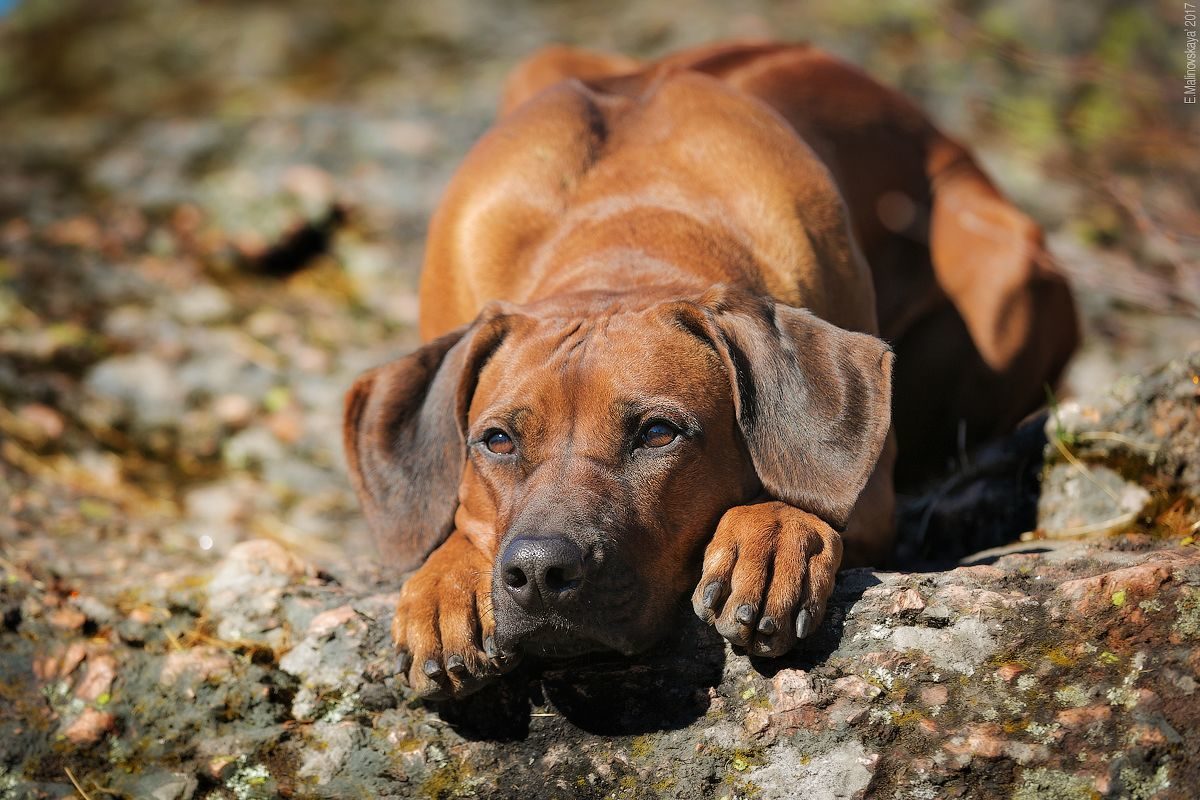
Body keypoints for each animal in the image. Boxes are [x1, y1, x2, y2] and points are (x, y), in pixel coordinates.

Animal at [340, 40, 1080, 695]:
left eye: (658, 433)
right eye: (496, 441)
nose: (542, 572)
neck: (623, 230)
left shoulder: (870, 499)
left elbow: (807, 485)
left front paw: (771, 535)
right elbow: (452, 519)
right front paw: (444, 584)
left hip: (1008, 269)